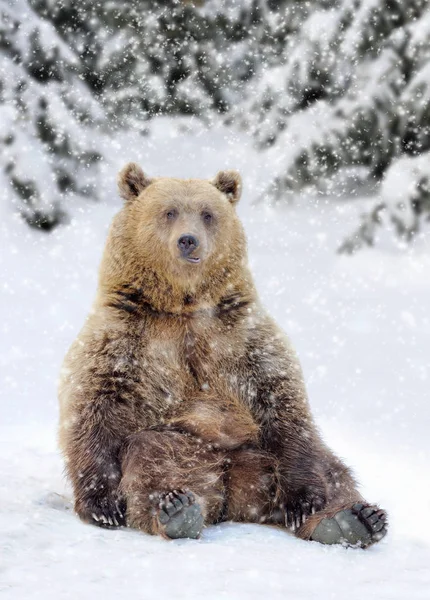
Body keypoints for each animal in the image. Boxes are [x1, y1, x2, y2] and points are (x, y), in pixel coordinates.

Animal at [58, 162, 386, 548]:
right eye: (169, 211)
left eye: (208, 214)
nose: (188, 240)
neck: (183, 305)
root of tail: (233, 494)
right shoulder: (125, 335)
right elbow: (95, 403)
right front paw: (101, 505)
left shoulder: (242, 334)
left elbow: (283, 401)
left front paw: (306, 502)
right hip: (185, 447)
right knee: (152, 456)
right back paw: (177, 509)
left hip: (258, 453)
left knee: (330, 468)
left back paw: (352, 519)